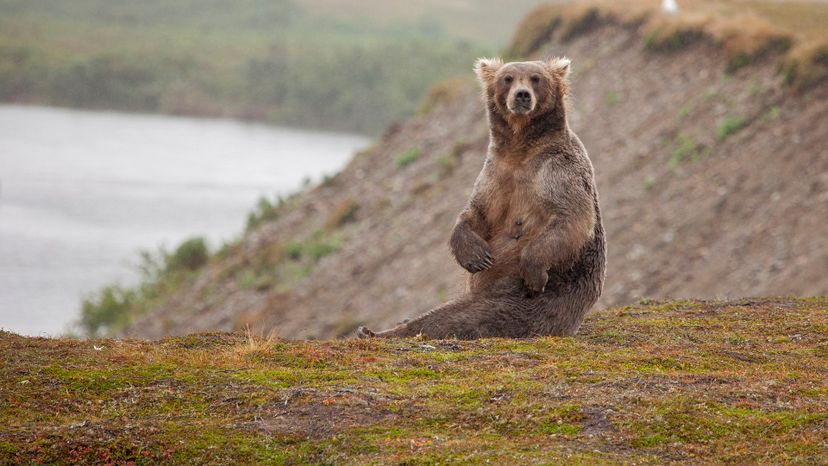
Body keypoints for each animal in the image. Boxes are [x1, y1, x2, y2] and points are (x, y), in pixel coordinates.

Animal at [360, 57, 604, 338]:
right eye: (507, 78)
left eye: (536, 78)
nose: (522, 95)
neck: (520, 151)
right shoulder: (495, 173)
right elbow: (477, 213)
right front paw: (476, 256)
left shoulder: (556, 170)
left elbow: (572, 217)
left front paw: (534, 272)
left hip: (528, 302)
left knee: (462, 316)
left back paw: (380, 331)